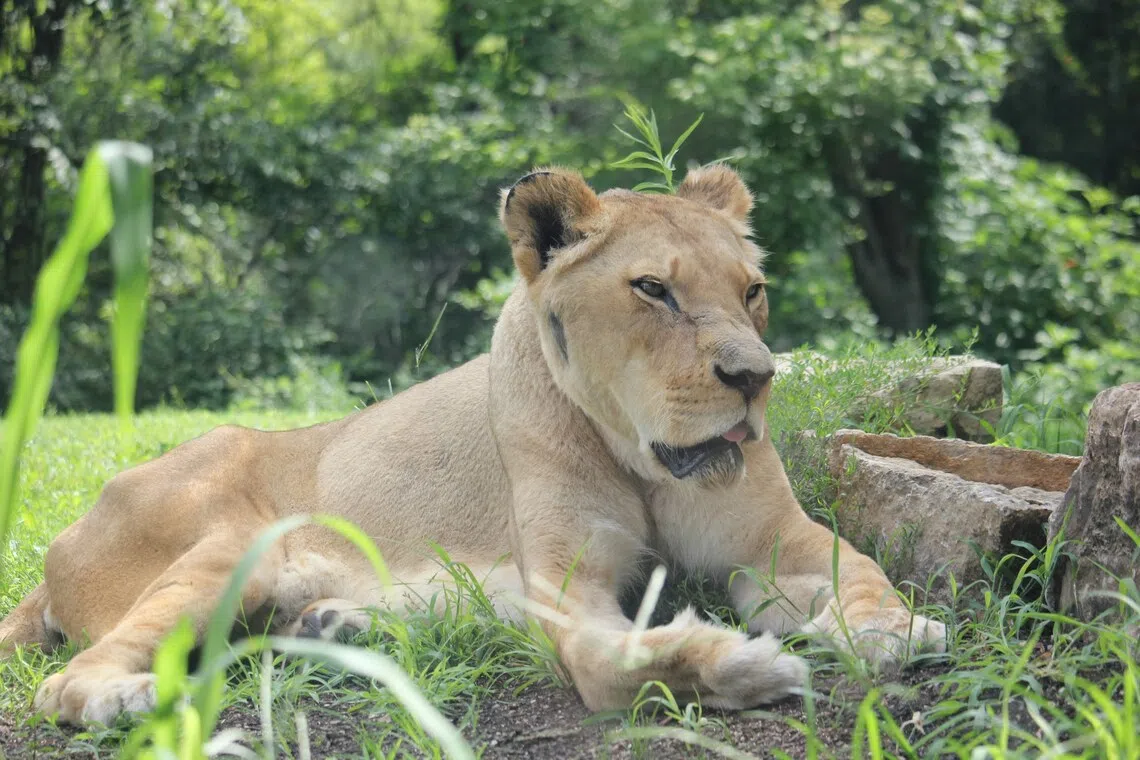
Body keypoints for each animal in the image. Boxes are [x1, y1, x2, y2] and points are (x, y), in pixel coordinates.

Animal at [0, 165, 945, 725]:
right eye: (653, 290)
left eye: (751, 291)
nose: (755, 377)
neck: (641, 458)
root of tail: (58, 549)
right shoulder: (569, 584)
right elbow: (608, 666)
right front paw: (742, 666)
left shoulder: (773, 535)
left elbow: (856, 566)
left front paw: (888, 628)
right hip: (229, 543)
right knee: (64, 678)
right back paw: (122, 697)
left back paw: (336, 618)